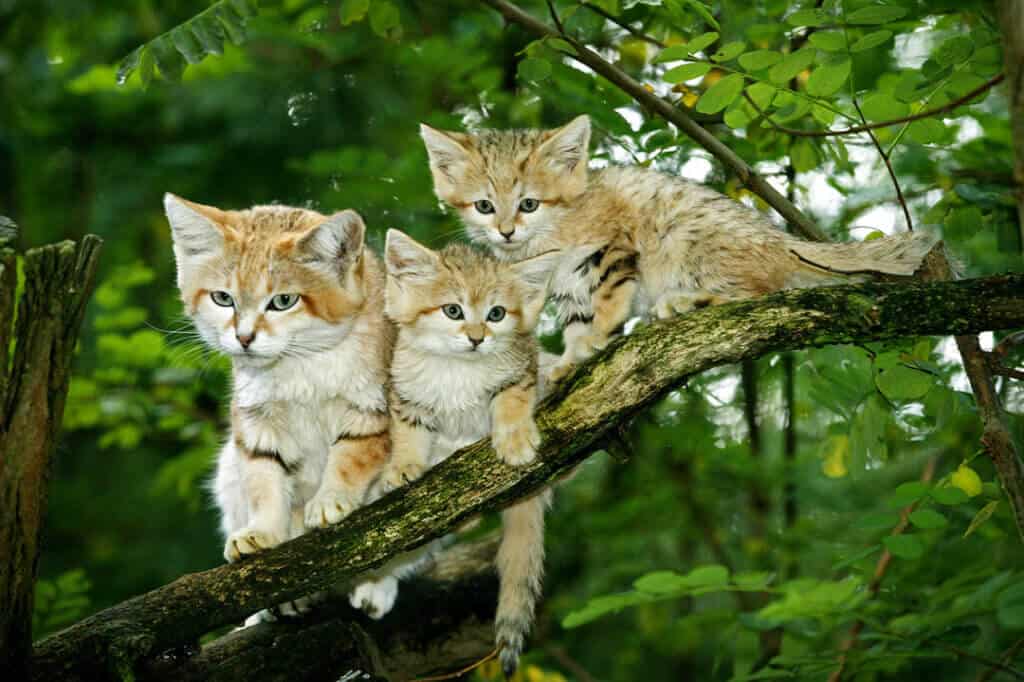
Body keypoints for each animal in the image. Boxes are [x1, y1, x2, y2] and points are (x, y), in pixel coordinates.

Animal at [165, 193, 393, 614]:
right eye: (223, 298)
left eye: (283, 301)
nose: (244, 338)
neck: (299, 364)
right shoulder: (255, 421)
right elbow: (263, 479)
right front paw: (264, 530)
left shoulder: (373, 410)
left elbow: (351, 455)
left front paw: (331, 498)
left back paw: (377, 587)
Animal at [417, 111, 937, 376]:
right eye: (484, 206)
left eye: (529, 203)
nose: (506, 231)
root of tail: (779, 239)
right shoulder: (564, 283)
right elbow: (576, 317)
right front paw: (570, 355)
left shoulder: (613, 243)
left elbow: (607, 298)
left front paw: (596, 339)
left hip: (685, 234)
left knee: (760, 294)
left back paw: (689, 300)